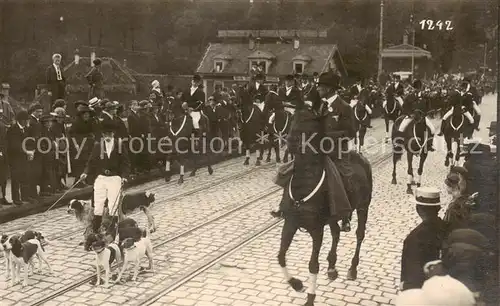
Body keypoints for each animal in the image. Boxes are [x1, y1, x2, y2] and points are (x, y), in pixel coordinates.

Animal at [276, 107, 374, 306]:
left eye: (310, 123)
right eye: (293, 119)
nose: (290, 142)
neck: (303, 186)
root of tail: (360, 157)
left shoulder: (316, 230)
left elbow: (313, 265)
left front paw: (310, 298)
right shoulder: (290, 224)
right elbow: (281, 256)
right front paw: (296, 283)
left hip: (363, 207)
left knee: (360, 234)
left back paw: (352, 268)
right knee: (336, 233)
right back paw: (332, 266)